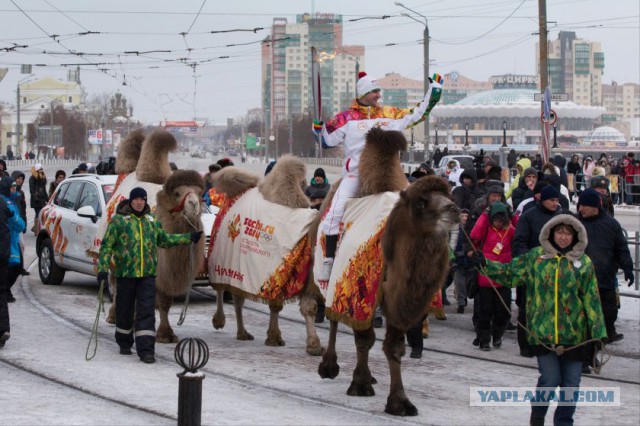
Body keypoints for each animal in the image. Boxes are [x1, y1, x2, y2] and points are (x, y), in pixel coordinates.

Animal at [312, 128, 460, 418]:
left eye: (450, 195)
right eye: (421, 202)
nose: (454, 209)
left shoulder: (399, 299)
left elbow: (394, 348)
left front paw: (399, 401)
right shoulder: (359, 289)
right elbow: (364, 338)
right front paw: (360, 384)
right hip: (332, 280)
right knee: (333, 317)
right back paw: (329, 366)